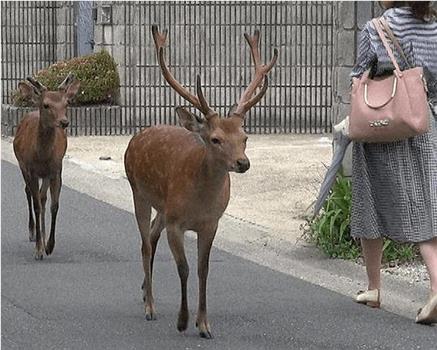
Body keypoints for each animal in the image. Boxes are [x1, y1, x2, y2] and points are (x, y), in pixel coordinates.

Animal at [13, 74, 80, 260]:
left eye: (66, 103)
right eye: (46, 105)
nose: (64, 122)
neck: (42, 156)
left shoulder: (56, 170)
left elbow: (54, 205)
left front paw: (49, 245)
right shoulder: (31, 170)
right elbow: (36, 205)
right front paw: (38, 250)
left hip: (46, 175)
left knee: (42, 198)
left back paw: (42, 236)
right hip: (22, 166)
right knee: (29, 192)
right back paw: (33, 233)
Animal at [124, 26, 278, 338]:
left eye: (245, 137)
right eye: (215, 139)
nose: (243, 163)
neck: (199, 203)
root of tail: (136, 137)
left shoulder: (211, 223)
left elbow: (203, 269)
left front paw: (204, 324)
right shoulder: (176, 223)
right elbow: (183, 268)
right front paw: (183, 321)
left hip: (163, 206)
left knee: (152, 235)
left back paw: (145, 291)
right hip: (138, 191)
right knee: (144, 243)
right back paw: (150, 307)